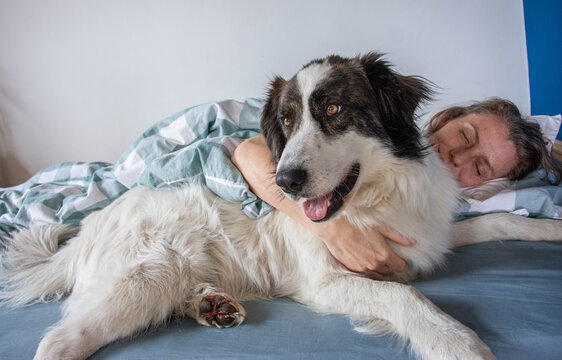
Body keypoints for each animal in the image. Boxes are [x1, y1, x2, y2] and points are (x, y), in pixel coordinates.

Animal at [1, 53, 560, 360]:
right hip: (146, 276)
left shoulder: (425, 238)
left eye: (333, 108)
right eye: (286, 121)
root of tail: (91, 227)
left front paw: (551, 230)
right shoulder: (326, 282)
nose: (286, 182)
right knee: (62, 340)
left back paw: (212, 305)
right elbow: (407, 298)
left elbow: (498, 220)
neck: (377, 197)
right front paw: (458, 343)